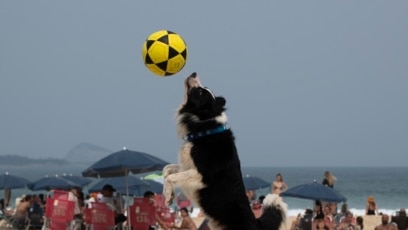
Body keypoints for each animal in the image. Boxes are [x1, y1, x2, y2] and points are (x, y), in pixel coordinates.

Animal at [163, 73, 286, 229]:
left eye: (200, 92)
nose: (194, 73)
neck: (205, 129)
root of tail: (256, 222)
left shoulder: (204, 174)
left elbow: (171, 177)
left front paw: (168, 195)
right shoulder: (188, 166)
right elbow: (166, 169)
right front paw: (168, 196)